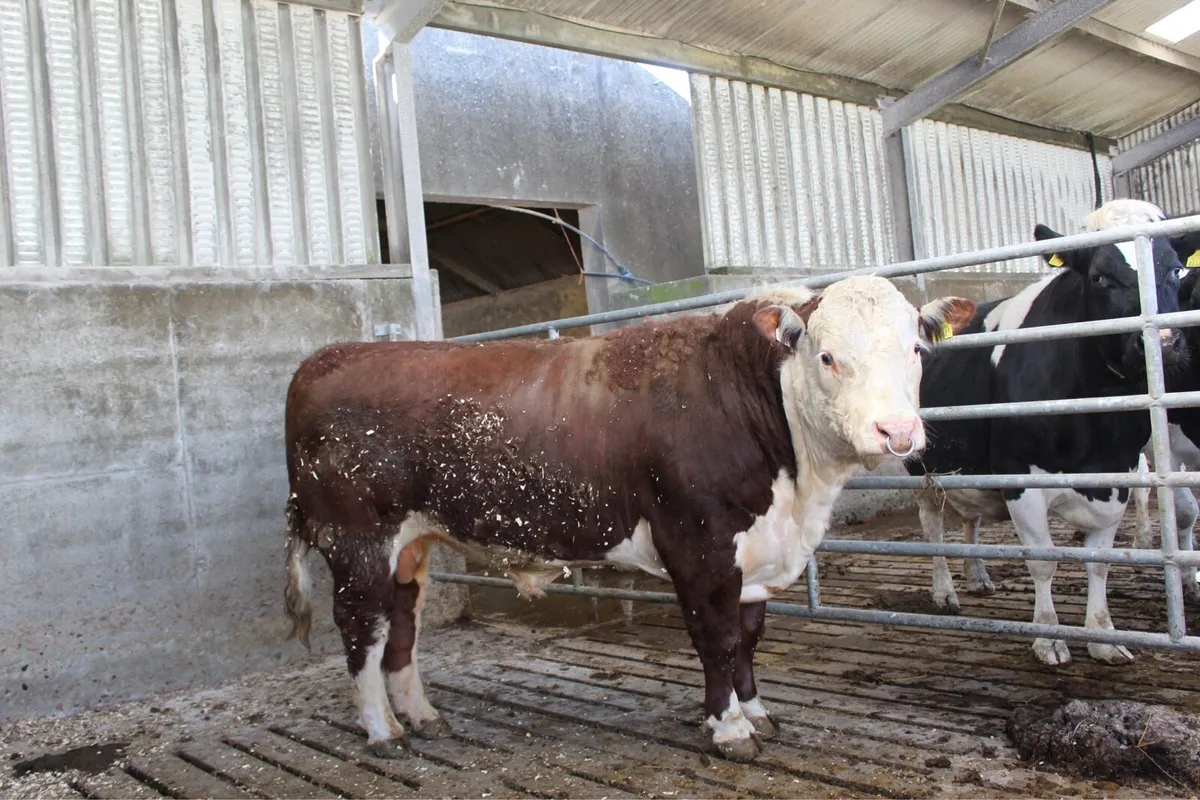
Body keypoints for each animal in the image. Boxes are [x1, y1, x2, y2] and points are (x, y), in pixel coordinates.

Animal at [281, 275, 975, 762]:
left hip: (410, 545)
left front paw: (755, 712)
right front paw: (728, 729)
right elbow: (717, 641)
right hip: (357, 541)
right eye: (827, 357)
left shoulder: (752, 553)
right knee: (362, 632)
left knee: (401, 627)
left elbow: (747, 639)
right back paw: (382, 731)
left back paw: (422, 717)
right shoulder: (698, 546)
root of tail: (326, 358)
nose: (897, 431)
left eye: (916, 348)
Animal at [905, 199, 1187, 667]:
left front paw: (1103, 636)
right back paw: (944, 591)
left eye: (1177, 270)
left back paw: (976, 574)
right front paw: (1049, 638)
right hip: (921, 469)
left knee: (971, 518)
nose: (1163, 343)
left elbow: (1099, 563)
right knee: (933, 527)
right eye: (1099, 277)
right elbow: (1043, 562)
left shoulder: (1119, 476)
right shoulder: (1021, 478)